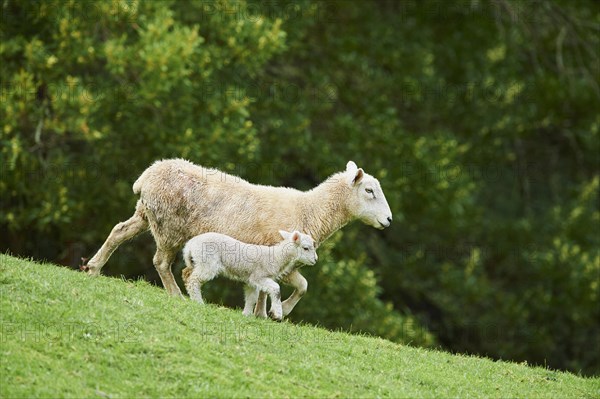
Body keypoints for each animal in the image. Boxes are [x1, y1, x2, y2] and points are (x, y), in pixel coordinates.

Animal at [182, 231, 318, 322]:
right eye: (306, 248)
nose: (316, 260)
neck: (276, 257)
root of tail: (190, 245)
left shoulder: (251, 280)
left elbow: (252, 297)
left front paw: (246, 314)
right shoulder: (259, 276)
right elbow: (276, 289)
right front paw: (277, 314)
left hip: (197, 261)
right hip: (208, 262)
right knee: (193, 280)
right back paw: (198, 302)